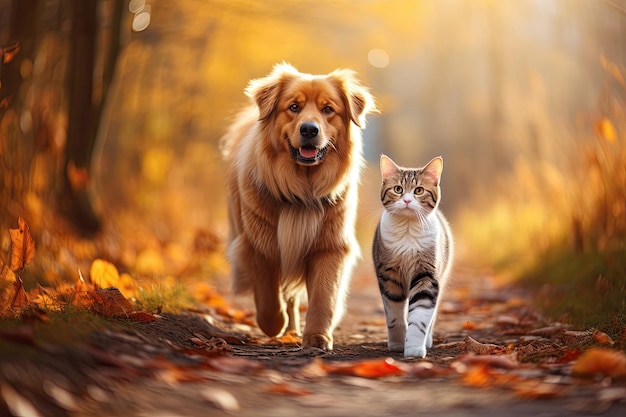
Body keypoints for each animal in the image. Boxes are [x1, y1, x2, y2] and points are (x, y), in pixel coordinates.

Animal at [222, 62, 372, 348]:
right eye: (294, 107)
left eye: (328, 109)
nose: (309, 129)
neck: (302, 189)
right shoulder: (258, 245)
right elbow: (268, 297)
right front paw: (274, 325)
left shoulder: (329, 246)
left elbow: (324, 297)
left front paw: (316, 336)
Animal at [370, 154, 454, 356]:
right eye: (398, 189)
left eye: (419, 190)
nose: (407, 201)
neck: (408, 230)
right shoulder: (389, 276)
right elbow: (394, 314)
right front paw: (398, 343)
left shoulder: (427, 276)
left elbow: (420, 316)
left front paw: (414, 348)